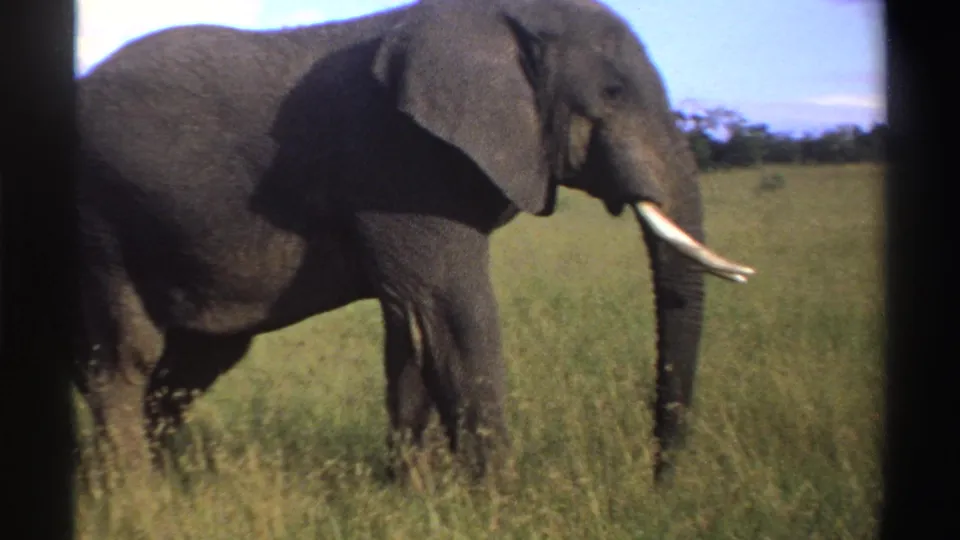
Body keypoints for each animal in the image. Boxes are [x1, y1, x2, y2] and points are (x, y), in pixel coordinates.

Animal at [75, 0, 755, 485]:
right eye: (612, 93)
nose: (658, 483)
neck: (495, 17)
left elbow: (414, 329)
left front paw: (413, 496)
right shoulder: (403, 161)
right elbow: (453, 314)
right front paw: (501, 504)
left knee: (195, 361)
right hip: (98, 217)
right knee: (125, 357)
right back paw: (137, 499)